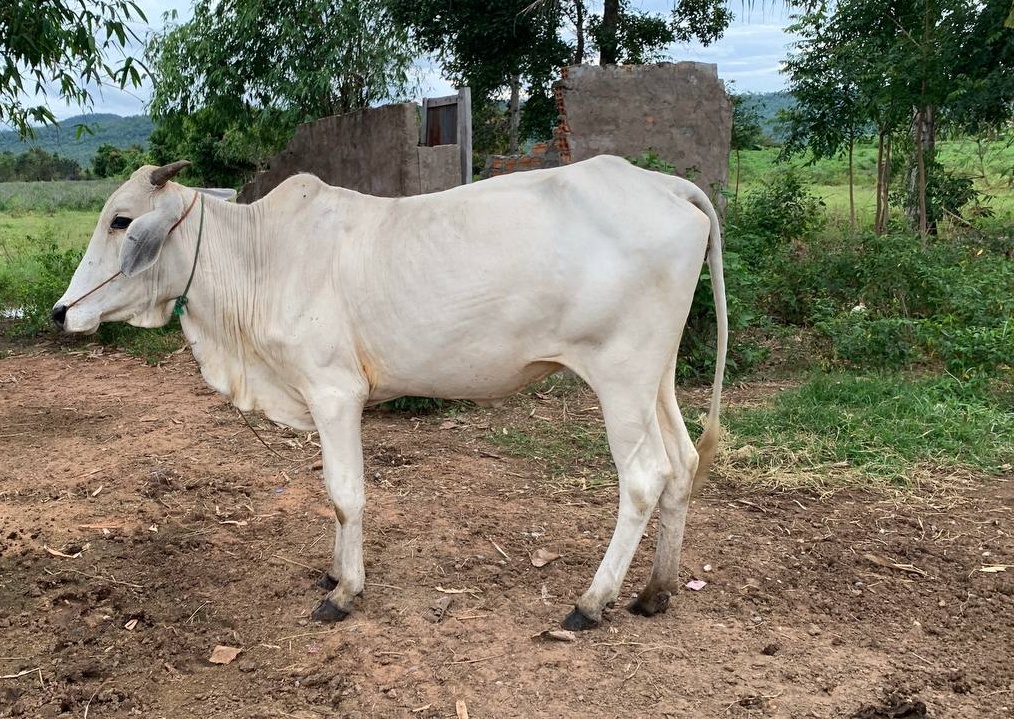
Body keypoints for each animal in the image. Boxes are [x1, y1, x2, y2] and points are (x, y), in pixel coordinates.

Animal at [52, 156, 727, 630]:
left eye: (122, 220)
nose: (61, 312)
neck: (261, 259)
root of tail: (665, 185)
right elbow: (334, 497)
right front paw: (333, 575)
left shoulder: (334, 392)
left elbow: (344, 494)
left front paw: (346, 592)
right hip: (655, 378)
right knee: (682, 465)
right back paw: (655, 592)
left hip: (620, 376)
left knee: (644, 477)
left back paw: (592, 602)